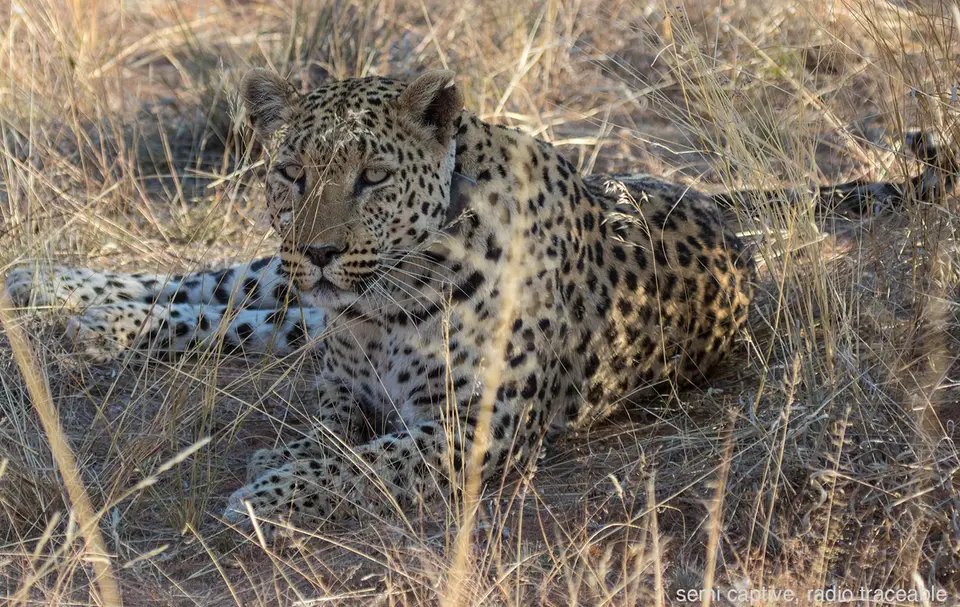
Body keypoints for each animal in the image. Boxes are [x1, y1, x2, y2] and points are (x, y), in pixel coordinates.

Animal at [5, 68, 955, 532]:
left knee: (230, 316)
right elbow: (328, 439)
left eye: (372, 175)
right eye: (291, 172)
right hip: (275, 281)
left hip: (292, 305)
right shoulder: (340, 385)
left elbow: (362, 460)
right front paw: (275, 470)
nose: (320, 249)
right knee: (220, 287)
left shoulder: (479, 424)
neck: (383, 305)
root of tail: (698, 191)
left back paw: (84, 320)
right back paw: (58, 294)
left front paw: (265, 495)